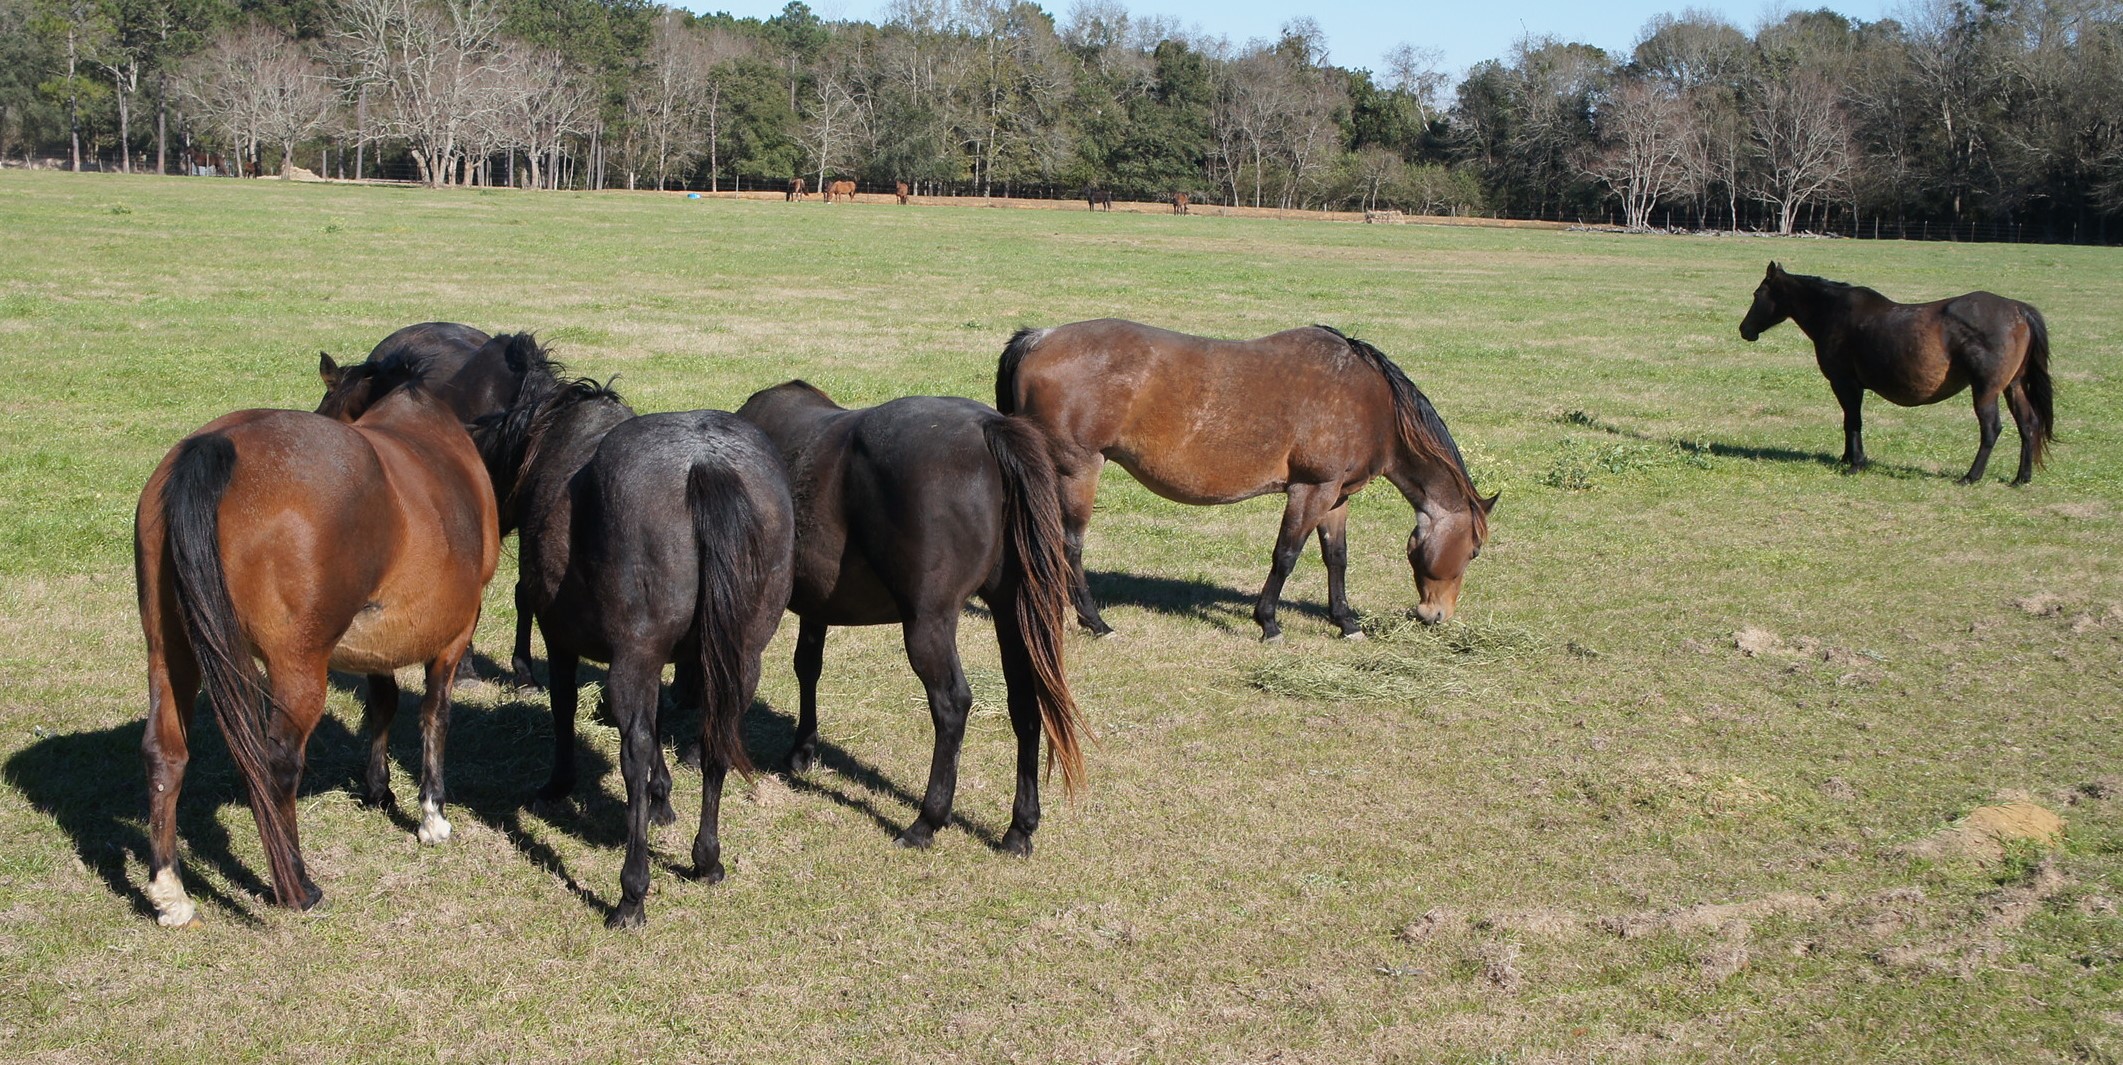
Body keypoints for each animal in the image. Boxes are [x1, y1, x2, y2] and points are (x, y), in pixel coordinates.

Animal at [135, 352, 499, 927]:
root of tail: (217, 445)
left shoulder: (379, 639)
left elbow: (384, 702)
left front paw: (377, 786)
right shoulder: (458, 631)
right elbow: (434, 714)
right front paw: (432, 815)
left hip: (170, 652)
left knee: (164, 753)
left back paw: (170, 891)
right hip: (297, 666)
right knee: (278, 762)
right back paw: (297, 885)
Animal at [474, 339, 794, 927]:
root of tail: (706, 463)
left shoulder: (567, 642)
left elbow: (566, 709)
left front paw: (560, 783)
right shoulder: (663, 659)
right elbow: (664, 716)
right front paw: (665, 799)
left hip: (633, 657)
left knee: (635, 748)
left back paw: (631, 891)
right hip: (741, 657)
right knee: (716, 736)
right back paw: (706, 859)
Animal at [734, 382, 1087, 856]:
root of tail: (988, 428)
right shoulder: (816, 607)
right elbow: (807, 667)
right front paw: (802, 750)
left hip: (928, 623)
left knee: (952, 705)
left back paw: (926, 821)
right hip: (1010, 616)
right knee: (1024, 703)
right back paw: (1019, 827)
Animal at [996, 320, 1494, 641]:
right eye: (1472, 551)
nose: (1436, 615)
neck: (1371, 401)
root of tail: (1039, 339)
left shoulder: (1336, 496)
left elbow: (1336, 558)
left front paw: (1346, 622)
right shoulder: (1311, 490)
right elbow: (1286, 555)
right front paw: (1269, 623)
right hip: (1079, 470)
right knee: (1069, 546)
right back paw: (1096, 622)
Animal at [1739, 262, 2056, 485]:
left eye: (1757, 294)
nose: (1744, 329)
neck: (1833, 312)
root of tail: (2018, 310)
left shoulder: (1845, 383)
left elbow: (1853, 421)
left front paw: (1855, 462)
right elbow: (1848, 421)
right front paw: (1845, 458)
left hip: (1986, 391)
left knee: (1991, 429)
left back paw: (1971, 476)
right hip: (2013, 386)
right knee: (2028, 424)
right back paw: (2021, 478)